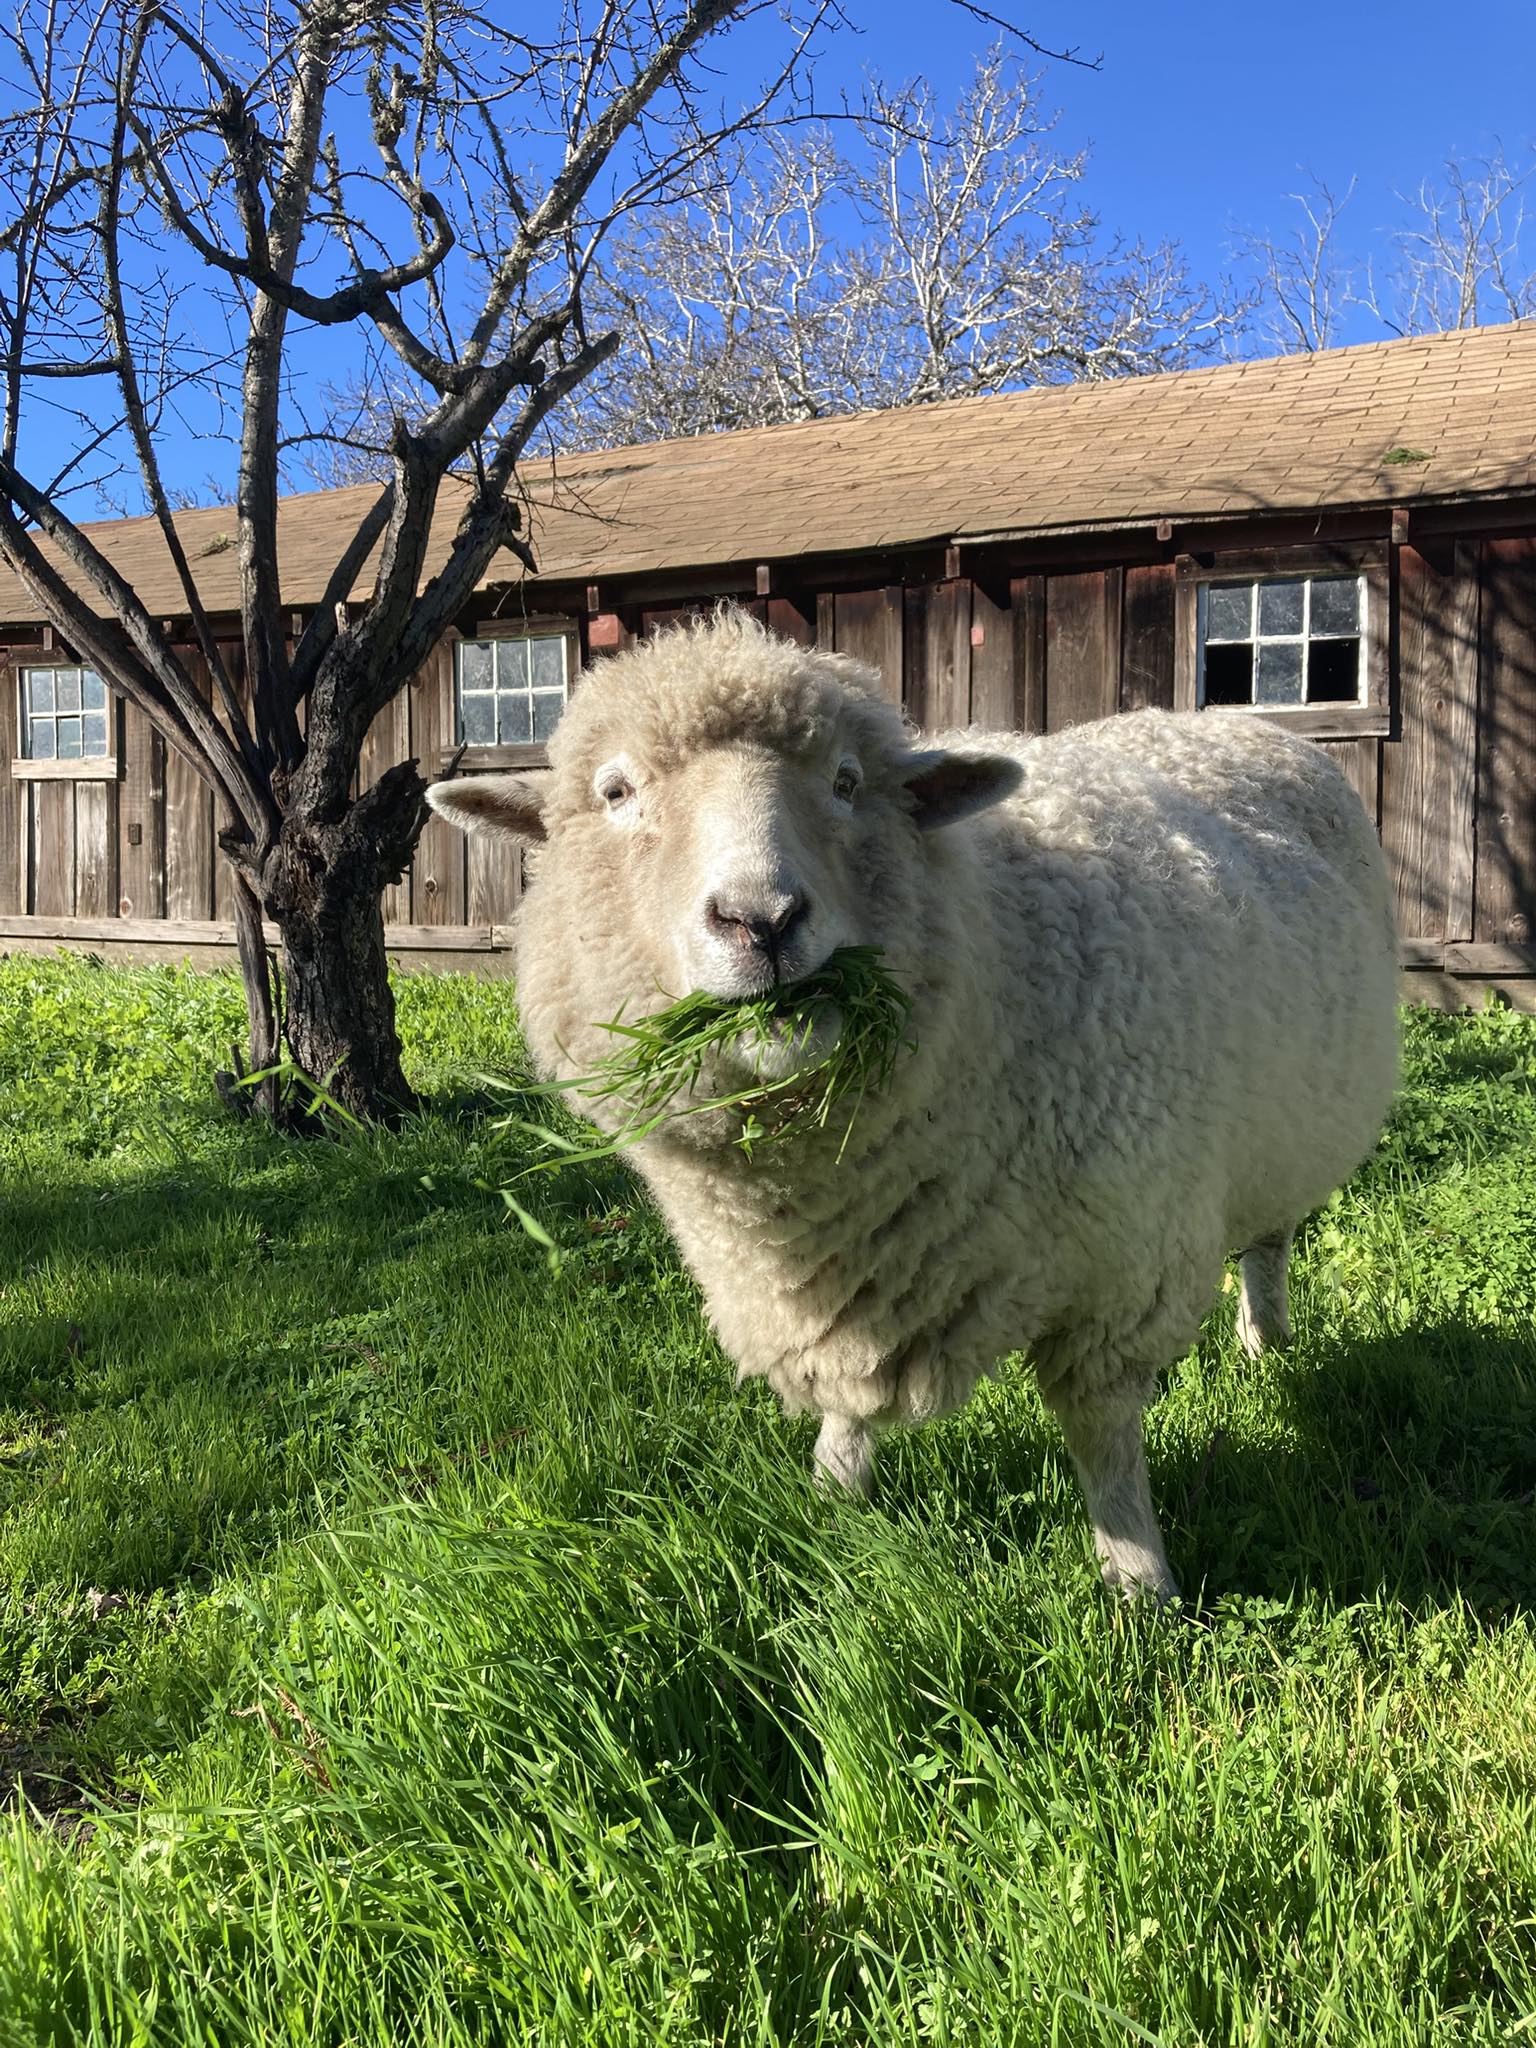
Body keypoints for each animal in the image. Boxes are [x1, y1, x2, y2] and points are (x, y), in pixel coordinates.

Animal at [427, 607, 1399, 1602]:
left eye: (848, 782)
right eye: (617, 792)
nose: (763, 921)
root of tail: (1215, 720)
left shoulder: (1122, 1274)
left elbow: (1103, 1438)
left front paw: (1137, 1580)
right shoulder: (838, 1285)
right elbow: (846, 1399)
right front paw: (831, 1493)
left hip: (1290, 1132)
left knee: (1269, 1243)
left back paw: (1266, 1342)